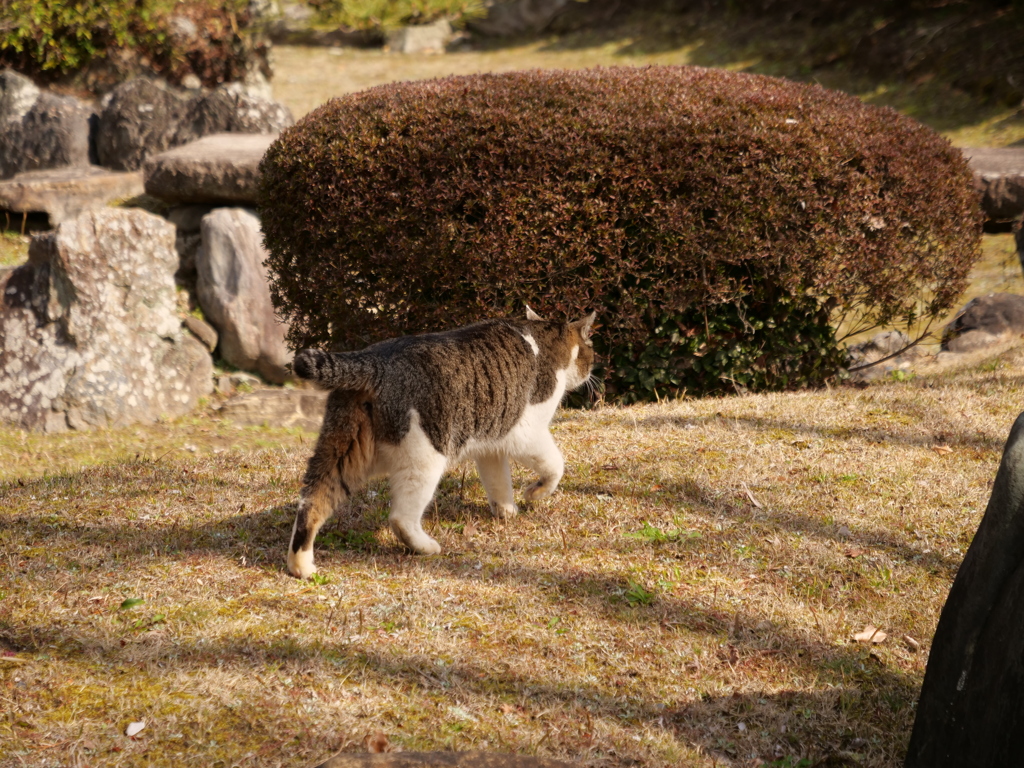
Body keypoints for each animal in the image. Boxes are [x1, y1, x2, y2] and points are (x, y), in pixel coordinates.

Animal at [284, 309, 598, 581]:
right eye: (592, 349)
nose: (591, 372)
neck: (543, 337)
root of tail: (374, 361)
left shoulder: (491, 446)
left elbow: (499, 483)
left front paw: (506, 511)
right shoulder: (526, 432)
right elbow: (555, 466)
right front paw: (535, 493)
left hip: (342, 451)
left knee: (311, 502)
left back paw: (302, 567)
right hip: (425, 457)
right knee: (400, 518)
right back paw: (426, 547)